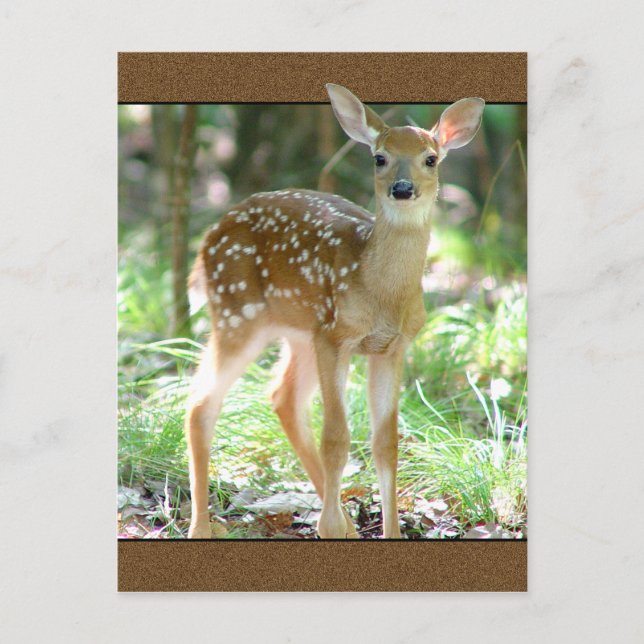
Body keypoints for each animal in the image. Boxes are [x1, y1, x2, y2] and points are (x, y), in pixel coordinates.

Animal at [185, 84, 484, 539]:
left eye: (430, 158)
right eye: (379, 157)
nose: (402, 188)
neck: (378, 291)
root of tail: (206, 241)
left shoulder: (392, 347)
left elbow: (385, 443)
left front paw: (388, 532)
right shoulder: (335, 336)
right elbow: (337, 439)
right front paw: (325, 527)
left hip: (298, 332)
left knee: (282, 397)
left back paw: (346, 524)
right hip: (238, 314)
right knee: (202, 403)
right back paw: (202, 527)